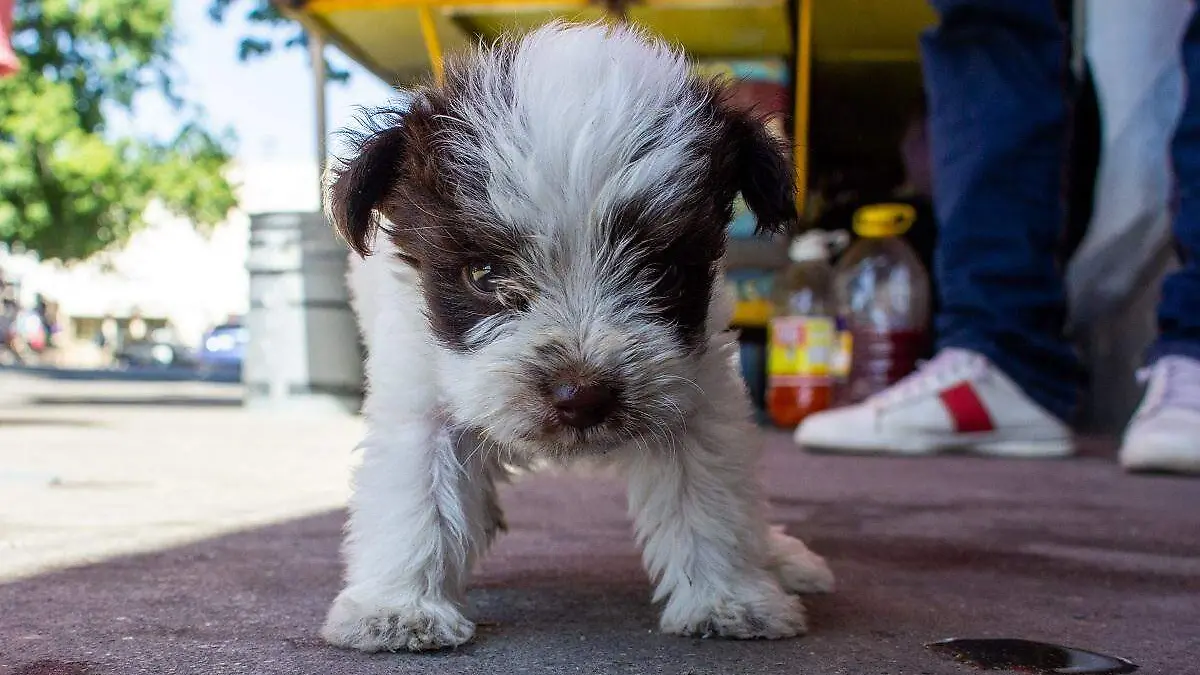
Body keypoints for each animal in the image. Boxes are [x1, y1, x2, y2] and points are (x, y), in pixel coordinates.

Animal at [319, 22, 835, 653]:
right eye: (484, 275)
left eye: (663, 272)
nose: (583, 396)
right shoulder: (420, 394)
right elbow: (415, 497)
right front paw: (398, 608)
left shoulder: (700, 395)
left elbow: (711, 499)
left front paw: (730, 597)